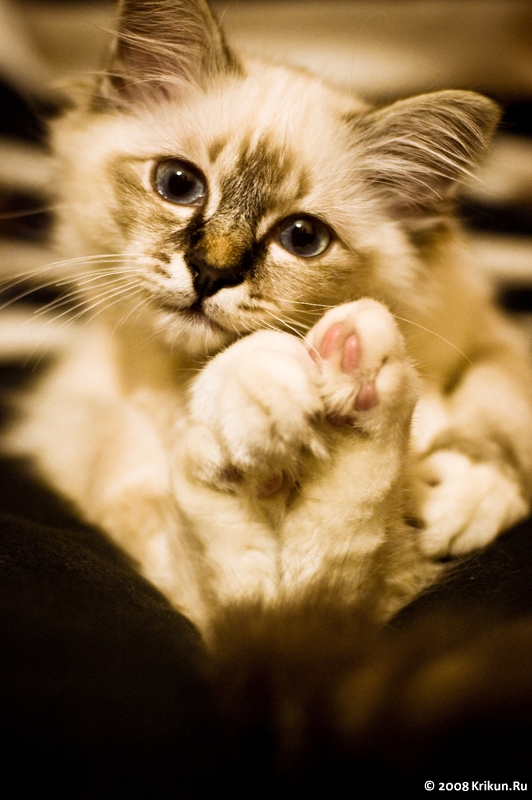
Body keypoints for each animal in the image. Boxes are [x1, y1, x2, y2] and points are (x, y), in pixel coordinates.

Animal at [3, 0, 532, 643]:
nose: (210, 272)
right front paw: (262, 393)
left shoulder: (490, 332)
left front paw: (461, 492)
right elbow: (242, 571)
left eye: (302, 239)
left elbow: (500, 396)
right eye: (178, 185)